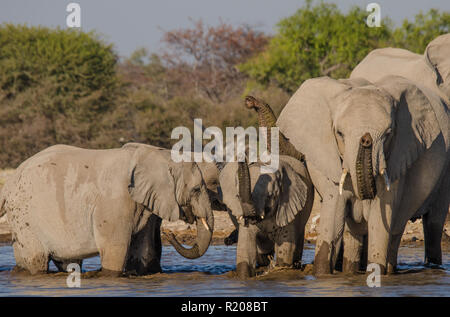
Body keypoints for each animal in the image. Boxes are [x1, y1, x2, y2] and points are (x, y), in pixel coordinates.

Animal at [0, 143, 214, 274]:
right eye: (196, 189)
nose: (170, 233)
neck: (157, 155)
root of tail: (10, 182)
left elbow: (143, 251)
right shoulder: (115, 201)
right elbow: (115, 250)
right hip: (25, 217)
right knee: (37, 261)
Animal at [278, 74, 450, 274]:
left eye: (388, 134)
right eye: (339, 133)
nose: (366, 139)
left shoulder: (396, 158)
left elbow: (380, 220)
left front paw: (376, 273)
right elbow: (334, 217)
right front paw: (322, 274)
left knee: (425, 225)